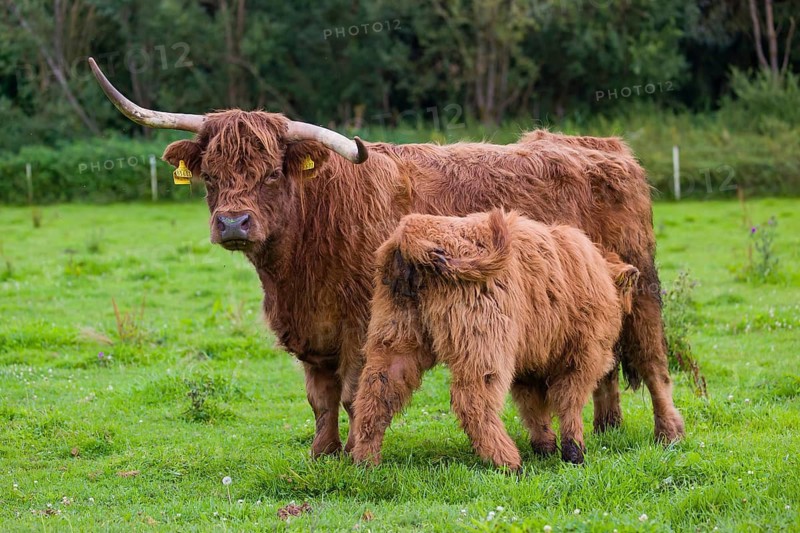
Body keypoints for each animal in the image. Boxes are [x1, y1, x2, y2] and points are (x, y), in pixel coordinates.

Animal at [351, 209, 640, 469]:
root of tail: (411, 230)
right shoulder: (583, 355)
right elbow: (570, 401)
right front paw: (574, 452)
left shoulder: (530, 364)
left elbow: (533, 408)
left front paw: (545, 446)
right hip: (485, 342)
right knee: (473, 400)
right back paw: (508, 461)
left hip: (397, 338)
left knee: (376, 393)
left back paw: (365, 460)